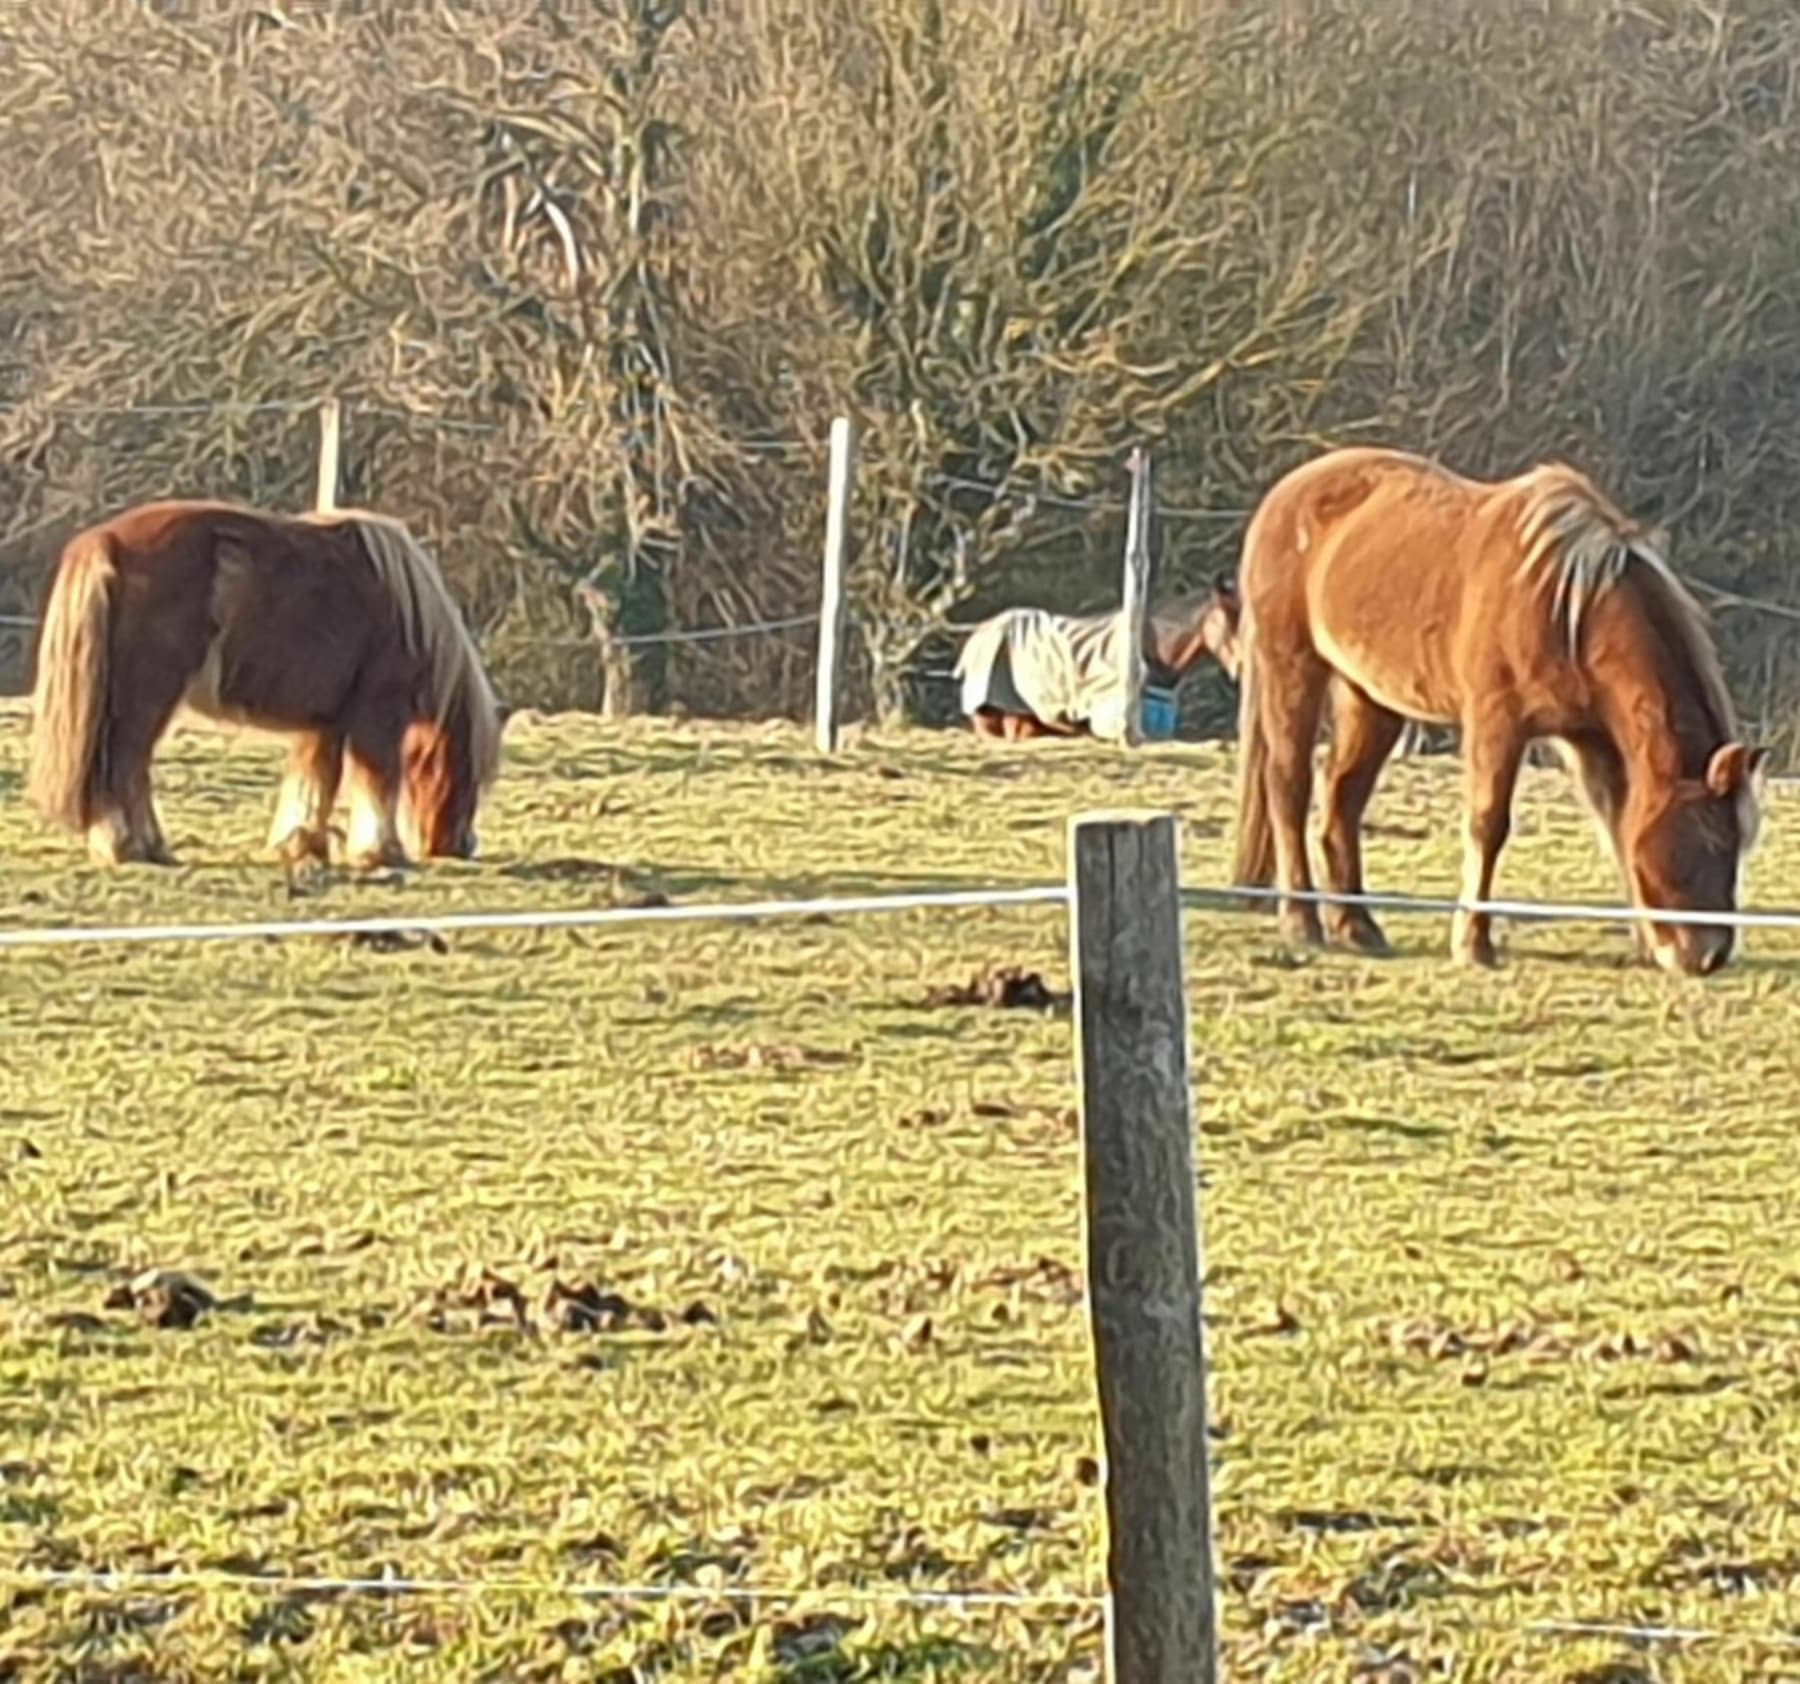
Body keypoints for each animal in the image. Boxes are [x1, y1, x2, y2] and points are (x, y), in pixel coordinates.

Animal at [28, 496, 504, 867]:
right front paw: (379, 851)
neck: (408, 615)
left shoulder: (326, 721)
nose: (460, 845)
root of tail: (104, 541)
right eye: (468, 775)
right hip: (146, 699)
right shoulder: (378, 714)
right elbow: (376, 777)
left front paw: (301, 843)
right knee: (126, 763)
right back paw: (131, 846)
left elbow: (316, 779)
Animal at [1231, 444, 1764, 971]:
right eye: (1713, 843)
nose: (1709, 956)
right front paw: (1472, 943)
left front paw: (1644, 942)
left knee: (1343, 797)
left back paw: (1356, 926)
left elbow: (1616, 825)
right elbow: (1488, 825)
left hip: (1369, 696)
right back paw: (1302, 921)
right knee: (1288, 786)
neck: (1569, 608)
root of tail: (1285, 493)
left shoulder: (1593, 739)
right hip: (1292, 668)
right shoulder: (1499, 722)